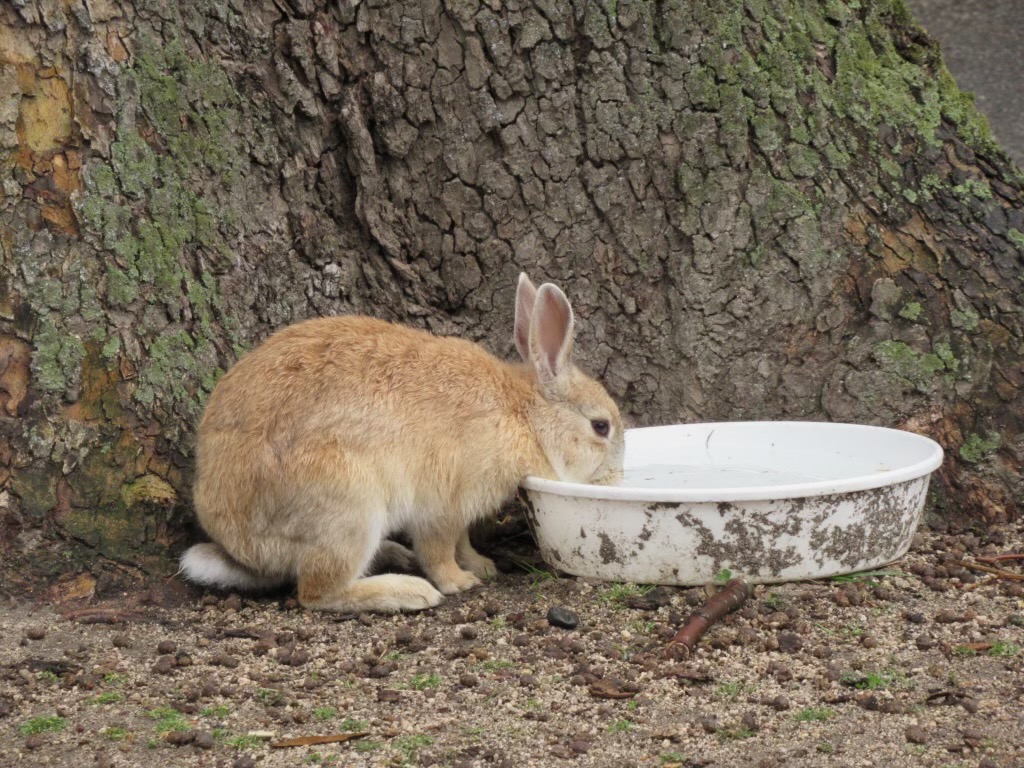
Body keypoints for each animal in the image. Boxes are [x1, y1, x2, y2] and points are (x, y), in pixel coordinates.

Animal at [178, 274, 622, 614]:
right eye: (600, 427)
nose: (615, 479)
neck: (525, 416)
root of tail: (240, 545)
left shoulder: (459, 509)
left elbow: (462, 540)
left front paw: (481, 565)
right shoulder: (443, 503)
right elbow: (438, 548)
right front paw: (459, 582)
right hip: (348, 504)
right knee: (317, 591)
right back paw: (409, 592)